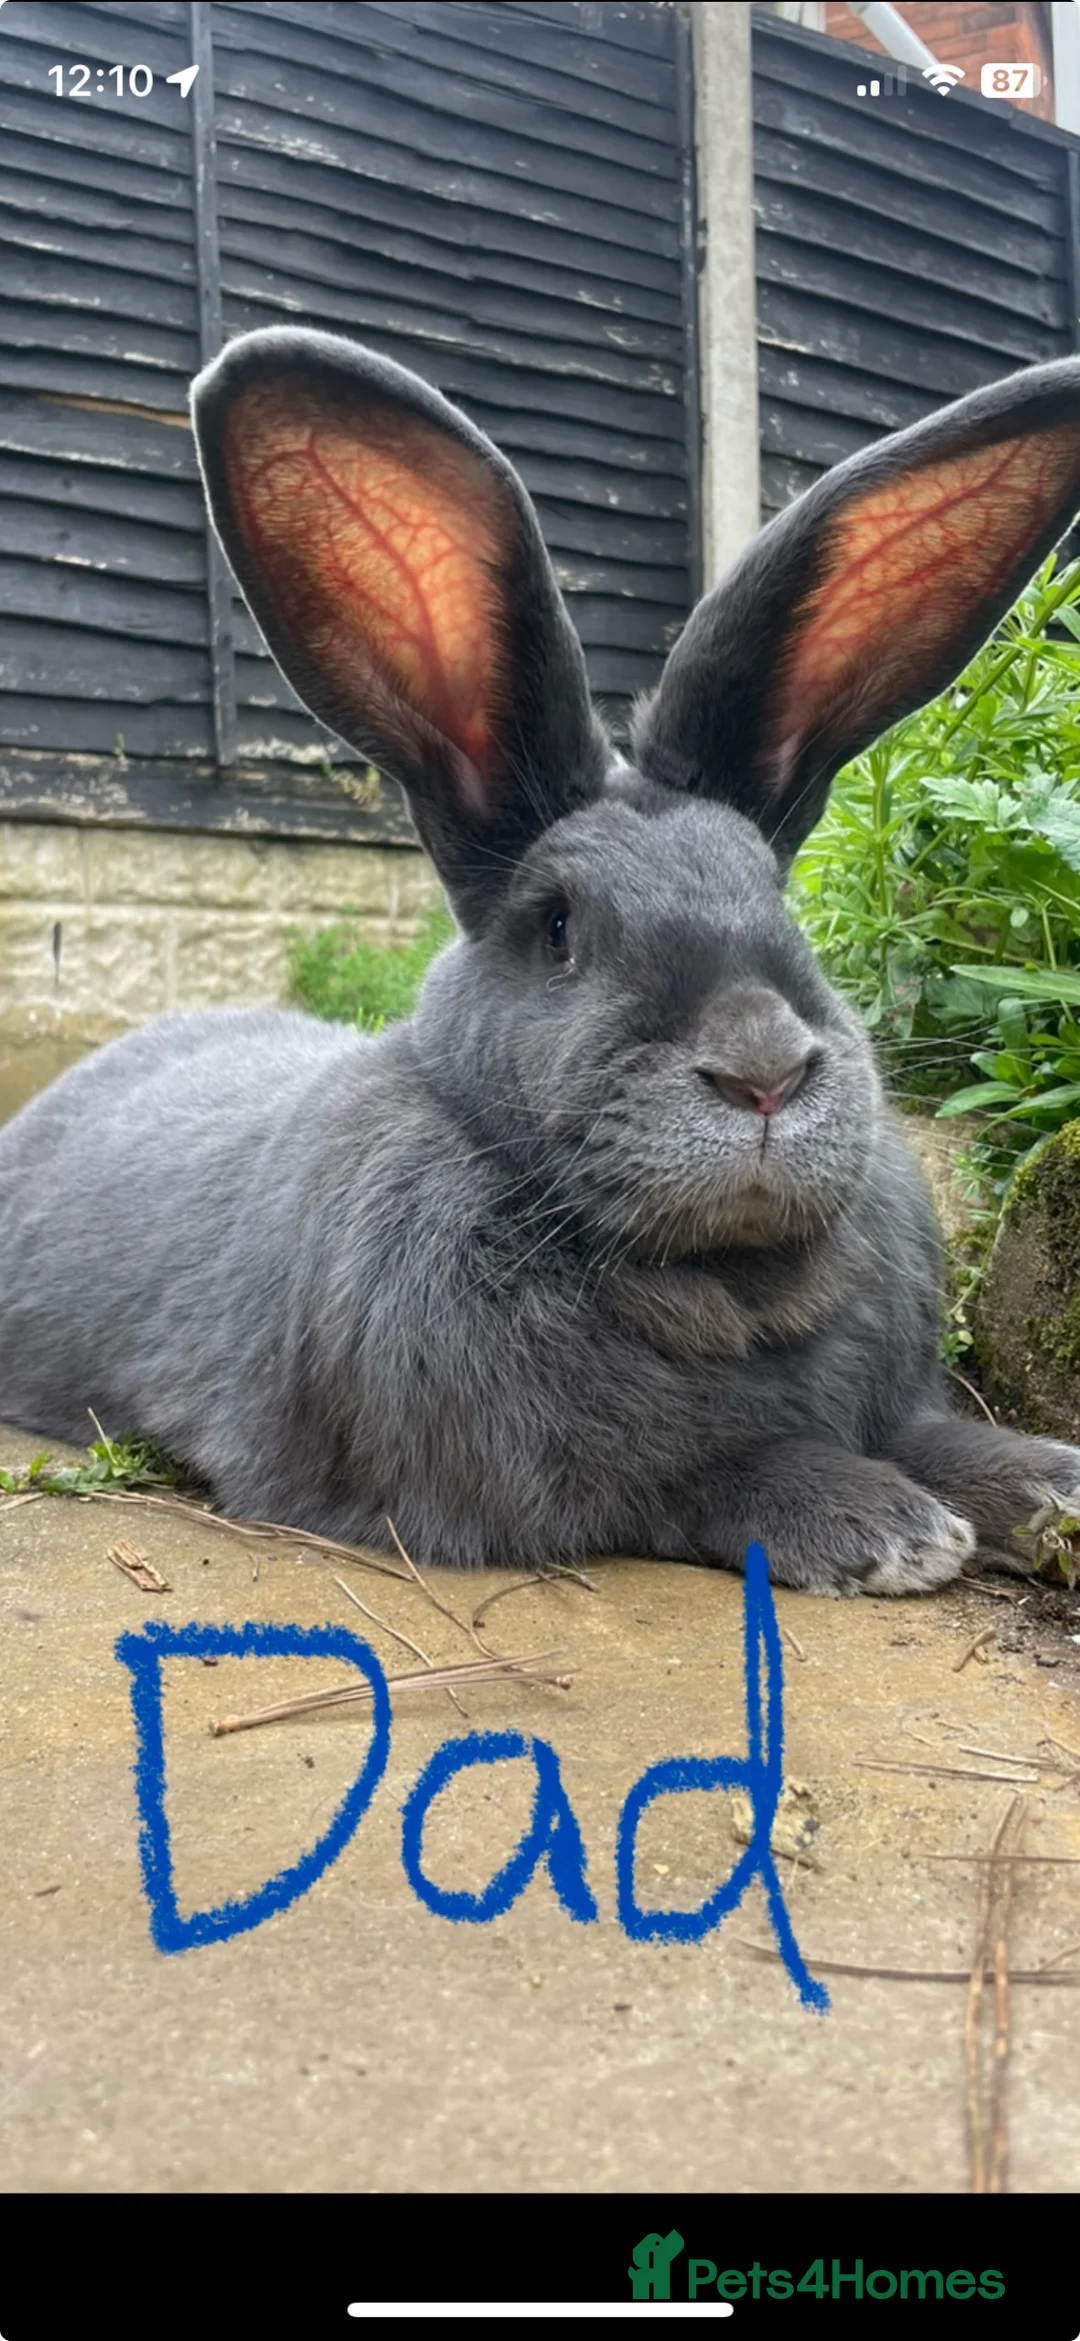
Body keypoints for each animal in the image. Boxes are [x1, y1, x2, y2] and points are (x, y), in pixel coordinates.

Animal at [4, 326, 1080, 1594]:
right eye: (559, 927)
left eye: (779, 903)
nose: (763, 1071)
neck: (728, 1281)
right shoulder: (569, 1478)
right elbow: (715, 1474)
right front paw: (889, 1528)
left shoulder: (890, 1403)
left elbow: (935, 1435)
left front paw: (1048, 1482)